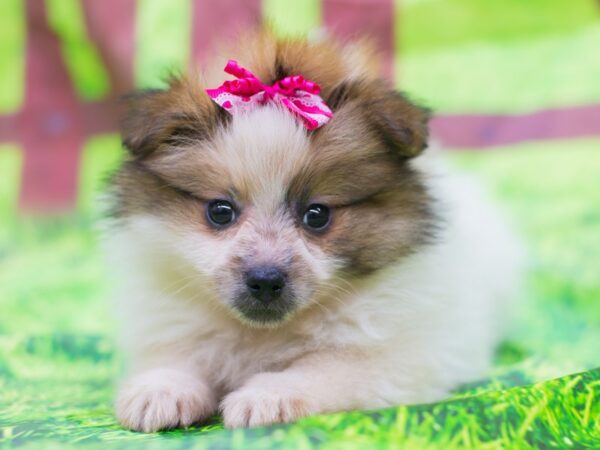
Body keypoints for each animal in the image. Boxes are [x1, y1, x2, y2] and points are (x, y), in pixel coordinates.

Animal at [105, 31, 524, 432]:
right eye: (220, 212)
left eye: (317, 215)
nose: (265, 279)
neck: (264, 334)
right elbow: (177, 355)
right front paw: (160, 390)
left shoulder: (396, 357)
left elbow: (324, 369)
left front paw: (267, 396)